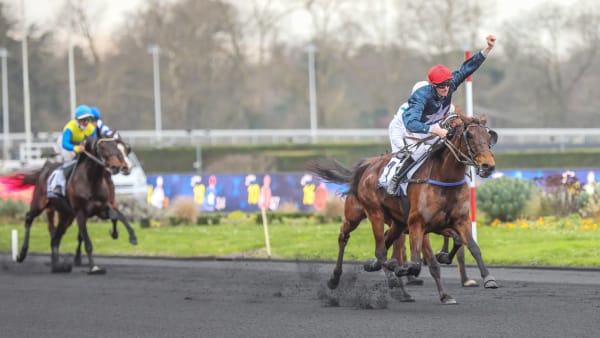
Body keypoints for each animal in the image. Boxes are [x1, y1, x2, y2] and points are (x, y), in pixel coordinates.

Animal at [308, 111, 500, 304]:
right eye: (469, 135)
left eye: (489, 136)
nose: (488, 166)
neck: (445, 180)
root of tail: (367, 166)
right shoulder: (418, 224)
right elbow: (422, 264)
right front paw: (441, 292)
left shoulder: (458, 221)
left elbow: (471, 246)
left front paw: (487, 278)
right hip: (365, 214)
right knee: (355, 240)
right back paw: (338, 278)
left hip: (397, 223)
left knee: (385, 243)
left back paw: (381, 271)